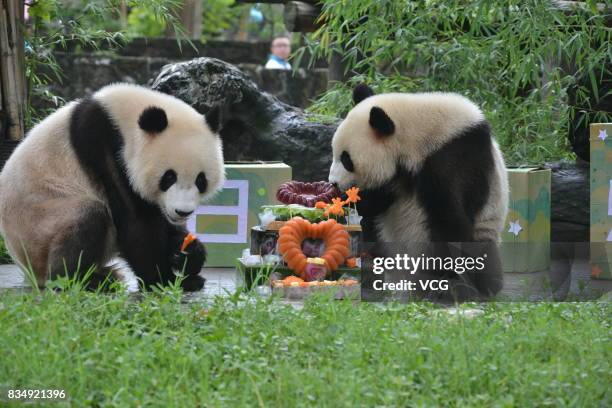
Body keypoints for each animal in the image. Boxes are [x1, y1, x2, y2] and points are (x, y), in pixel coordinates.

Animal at [0, 84, 226, 292]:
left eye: (201, 180)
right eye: (169, 177)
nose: (183, 212)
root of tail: (27, 270)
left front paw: (188, 254)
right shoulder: (105, 150)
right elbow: (135, 222)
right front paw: (166, 281)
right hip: (40, 225)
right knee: (88, 215)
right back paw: (84, 280)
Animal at [328, 83, 510, 300]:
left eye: (346, 159)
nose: (333, 183)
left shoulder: (453, 159)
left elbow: (450, 221)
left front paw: (447, 284)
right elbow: (375, 205)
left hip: (486, 228)